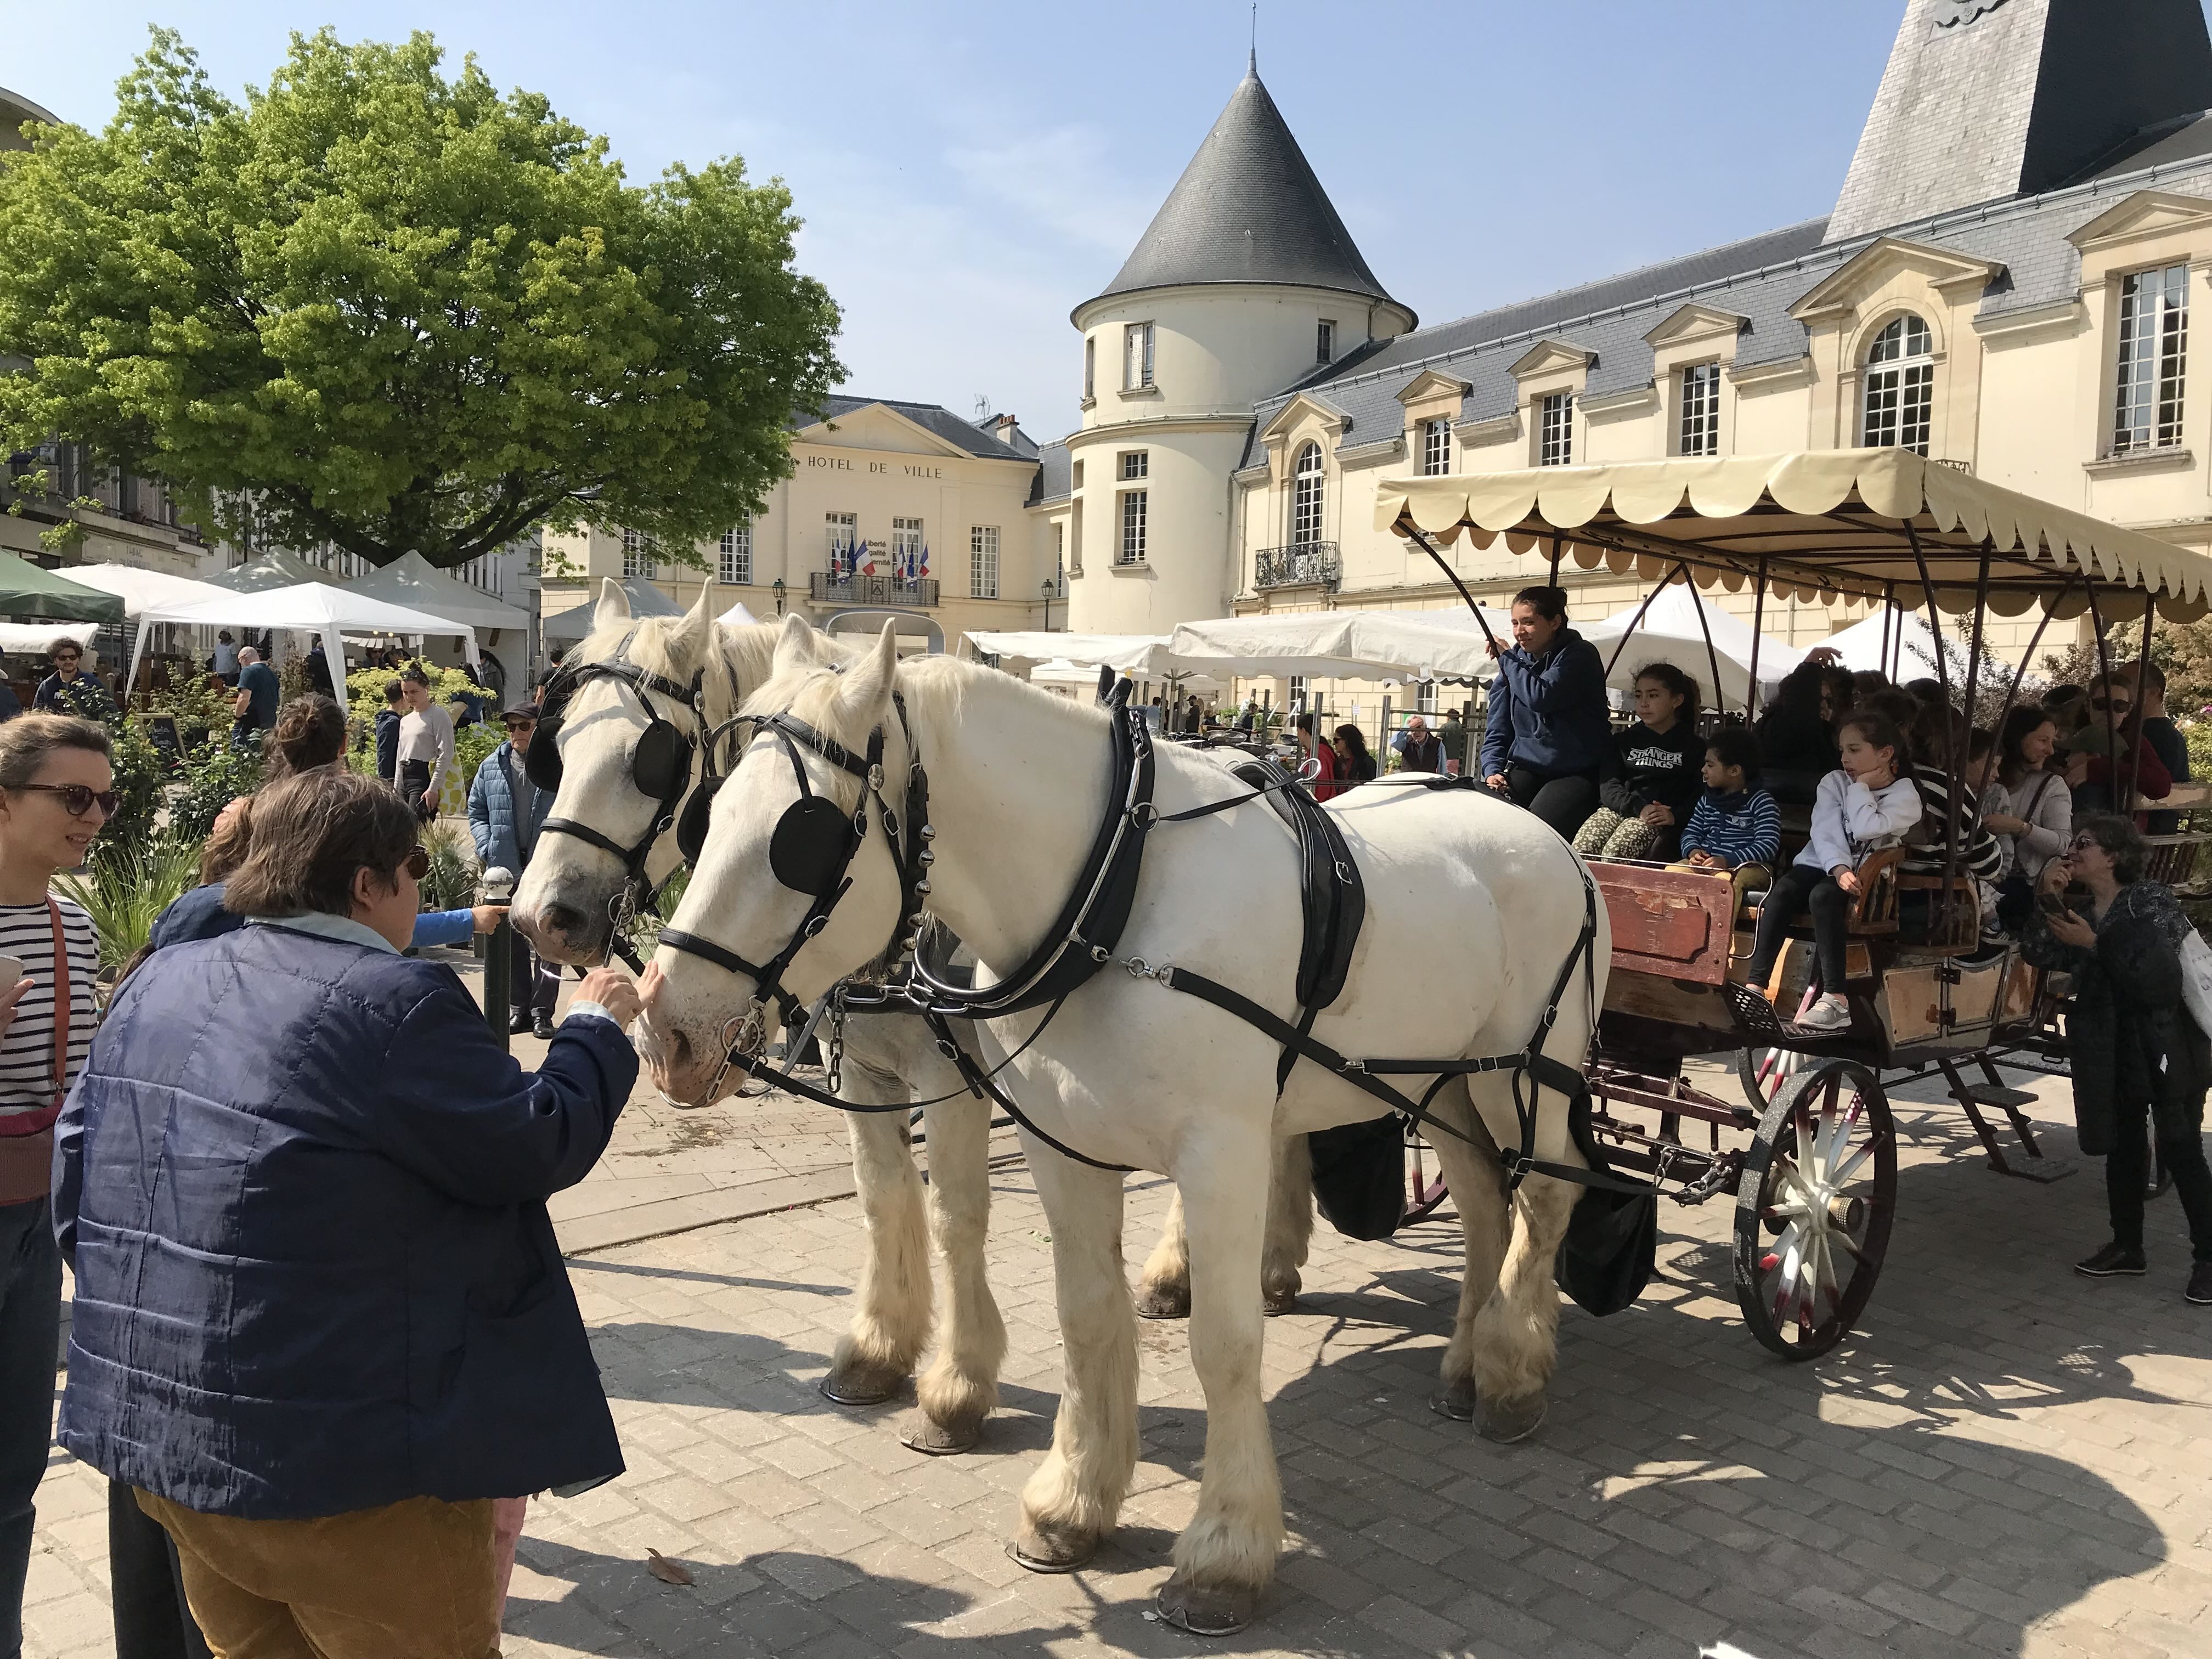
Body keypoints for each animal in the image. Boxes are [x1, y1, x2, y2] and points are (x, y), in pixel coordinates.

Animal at [637, 619, 1610, 1637]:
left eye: (803, 836)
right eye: (706, 812)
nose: (666, 1030)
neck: (1113, 900)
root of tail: (1555, 845)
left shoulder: (1221, 1149)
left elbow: (1225, 1341)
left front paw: (1225, 1550)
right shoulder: (1062, 1143)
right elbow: (1085, 1315)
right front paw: (1072, 1501)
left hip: (1526, 1077)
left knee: (1543, 1199)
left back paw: (1511, 1368)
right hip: (1444, 1081)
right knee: (1482, 1200)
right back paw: (1467, 1359)